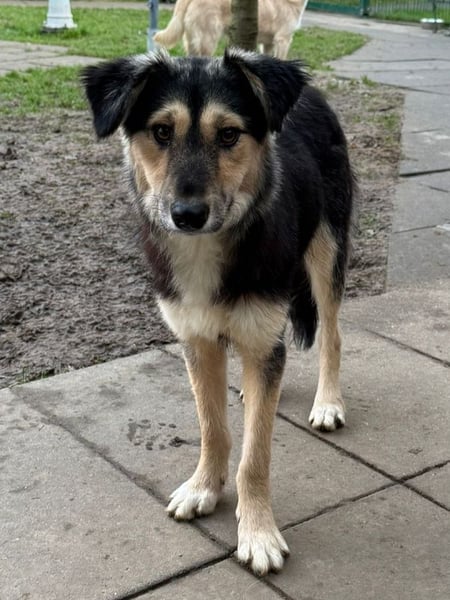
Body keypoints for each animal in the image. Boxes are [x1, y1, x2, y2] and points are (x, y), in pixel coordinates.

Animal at [82, 49, 354, 576]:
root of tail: (312, 91)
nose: (187, 215)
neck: (210, 248)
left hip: (327, 249)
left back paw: (328, 403)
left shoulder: (261, 335)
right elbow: (213, 428)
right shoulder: (197, 341)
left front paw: (258, 532)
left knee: (331, 334)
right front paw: (204, 488)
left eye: (229, 134)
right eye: (161, 132)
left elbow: (255, 455)